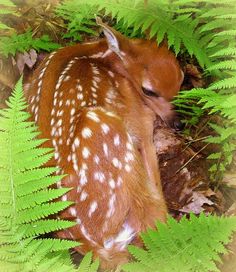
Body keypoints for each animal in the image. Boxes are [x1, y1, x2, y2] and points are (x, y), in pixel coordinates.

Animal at [24, 19, 183, 270]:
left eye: (183, 79)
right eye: (148, 90)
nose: (178, 123)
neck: (100, 56)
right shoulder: (138, 117)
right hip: (108, 130)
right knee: (152, 219)